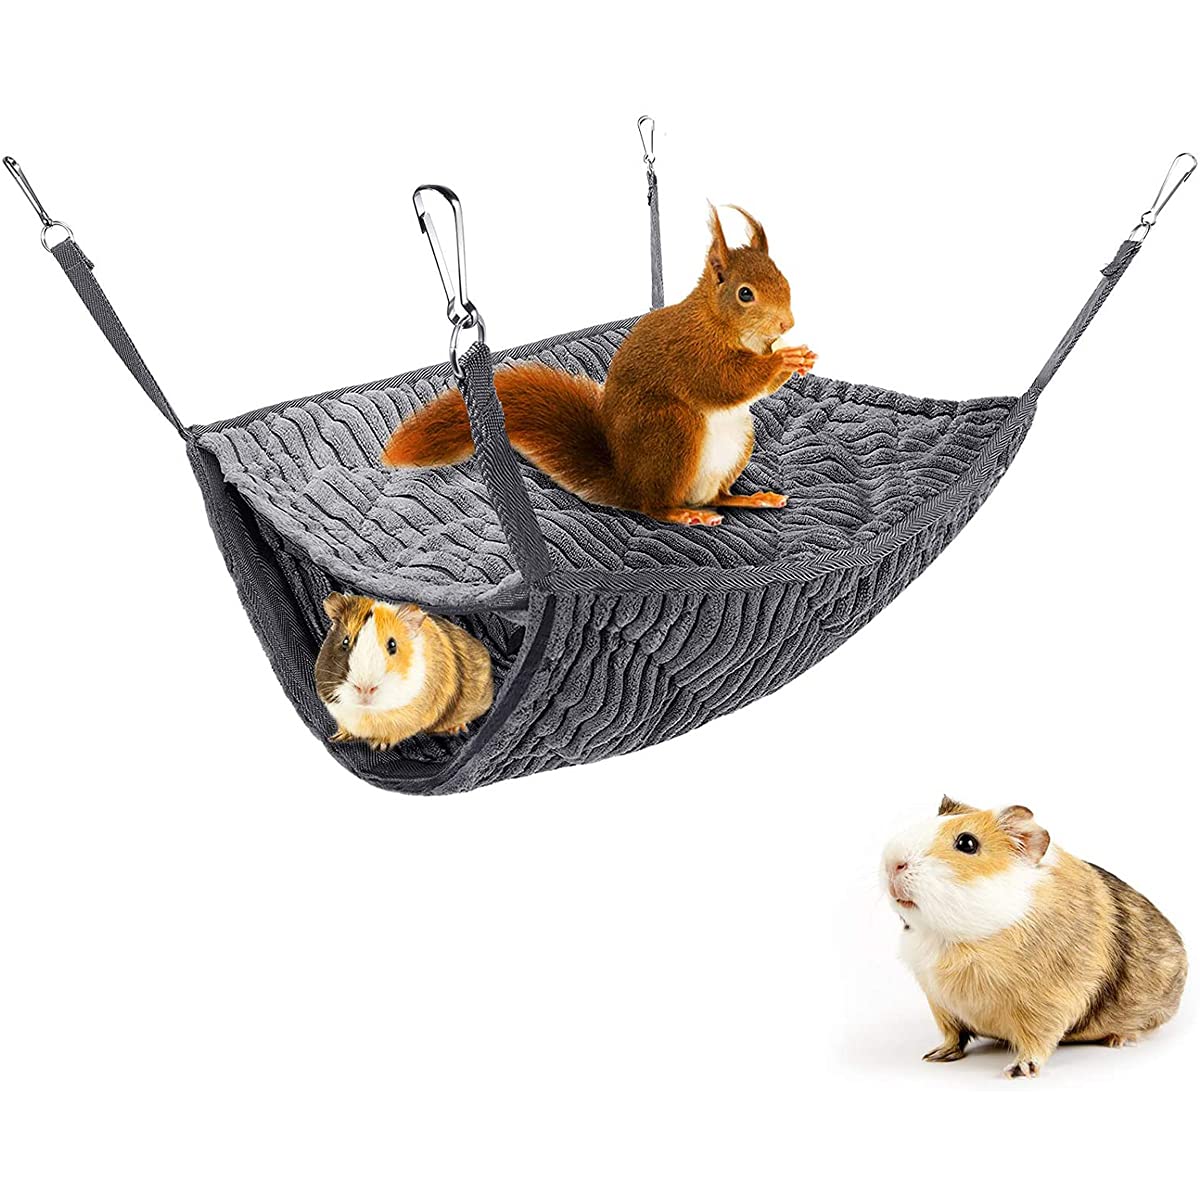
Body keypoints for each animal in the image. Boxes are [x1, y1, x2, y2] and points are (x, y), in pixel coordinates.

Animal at [315, 593, 494, 751]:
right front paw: (337, 737)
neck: (368, 712)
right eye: (345, 641)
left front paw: (378, 745)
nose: (365, 689)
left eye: (392, 645)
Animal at [880, 797, 1187, 1078]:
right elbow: (953, 1036)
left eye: (967, 843)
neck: (947, 939)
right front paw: (935, 1056)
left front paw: (1017, 1071)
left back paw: (1118, 1040)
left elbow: (1036, 1041)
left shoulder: (1047, 1004)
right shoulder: (939, 1002)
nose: (893, 864)